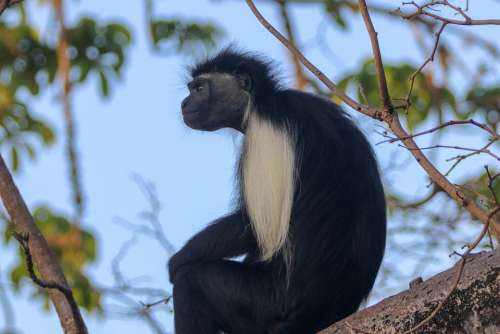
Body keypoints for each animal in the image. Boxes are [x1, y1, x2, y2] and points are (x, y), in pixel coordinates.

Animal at [169, 47, 386, 334]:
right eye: (191, 89)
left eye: (200, 88)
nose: (184, 104)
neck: (262, 101)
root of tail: (324, 306)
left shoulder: (264, 134)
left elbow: (253, 225)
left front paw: (179, 259)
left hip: (263, 303)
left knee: (193, 281)